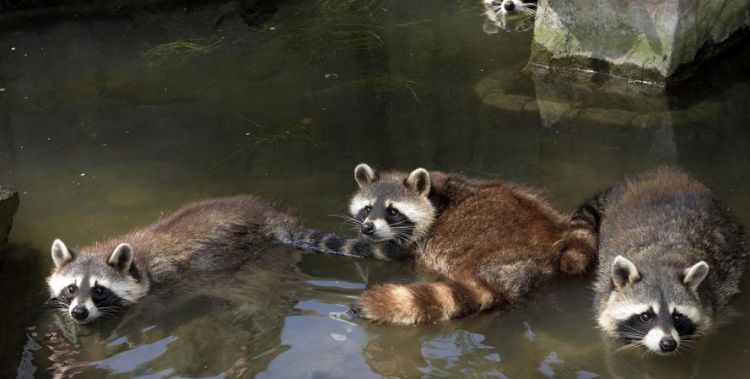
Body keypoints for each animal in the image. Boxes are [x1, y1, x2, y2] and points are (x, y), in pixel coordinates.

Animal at [48, 196, 394, 324]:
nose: (78, 312)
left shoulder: (165, 286)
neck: (138, 266)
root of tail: (272, 217)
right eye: (71, 288)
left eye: (99, 290)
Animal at [592, 168, 748, 354]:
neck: (659, 262)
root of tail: (664, 172)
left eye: (677, 316)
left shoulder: (715, 301)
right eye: (646, 316)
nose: (668, 343)